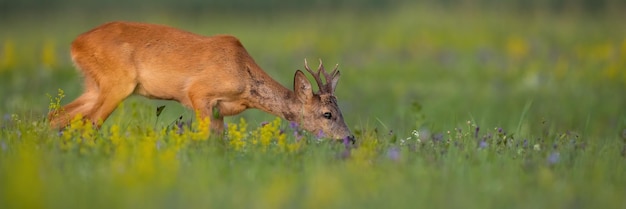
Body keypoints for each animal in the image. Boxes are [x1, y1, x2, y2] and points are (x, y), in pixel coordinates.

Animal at [47, 21, 354, 140]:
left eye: (340, 110)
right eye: (327, 114)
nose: (349, 137)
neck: (243, 77)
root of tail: (75, 44)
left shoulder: (220, 109)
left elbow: (221, 141)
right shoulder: (199, 94)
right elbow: (205, 137)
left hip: (94, 85)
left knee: (56, 116)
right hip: (116, 84)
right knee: (89, 123)